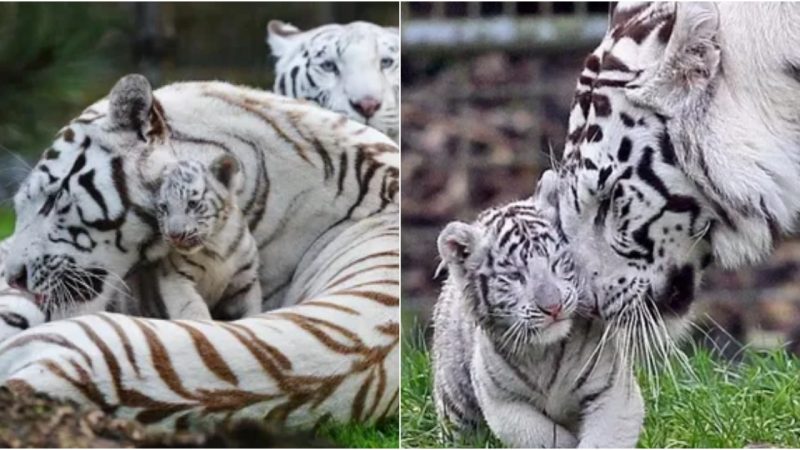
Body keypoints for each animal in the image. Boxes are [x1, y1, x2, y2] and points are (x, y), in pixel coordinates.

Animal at [152, 156, 260, 322]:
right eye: (164, 207)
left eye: (192, 204)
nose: (174, 235)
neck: (217, 243)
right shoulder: (175, 276)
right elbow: (191, 306)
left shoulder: (245, 281)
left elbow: (253, 311)